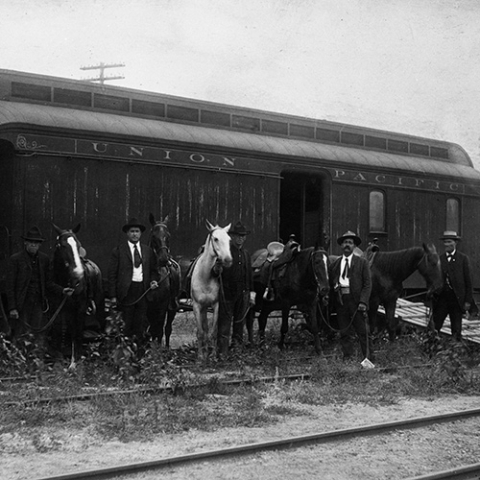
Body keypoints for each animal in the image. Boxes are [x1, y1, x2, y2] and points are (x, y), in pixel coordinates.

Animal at [49, 223, 104, 362]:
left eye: (78, 245)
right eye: (62, 245)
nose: (78, 274)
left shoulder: (79, 308)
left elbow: (77, 332)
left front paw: (75, 361)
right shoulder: (59, 307)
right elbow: (61, 330)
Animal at [145, 214, 181, 348]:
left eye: (168, 236)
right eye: (153, 236)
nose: (164, 259)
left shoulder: (162, 305)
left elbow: (159, 328)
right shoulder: (148, 306)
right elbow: (151, 327)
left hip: (172, 308)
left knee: (167, 328)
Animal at [190, 221, 232, 360]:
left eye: (229, 239)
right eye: (216, 239)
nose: (228, 260)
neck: (205, 277)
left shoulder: (216, 305)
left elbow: (213, 332)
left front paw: (213, 355)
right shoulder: (197, 306)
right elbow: (200, 332)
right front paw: (200, 356)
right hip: (202, 308)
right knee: (203, 330)